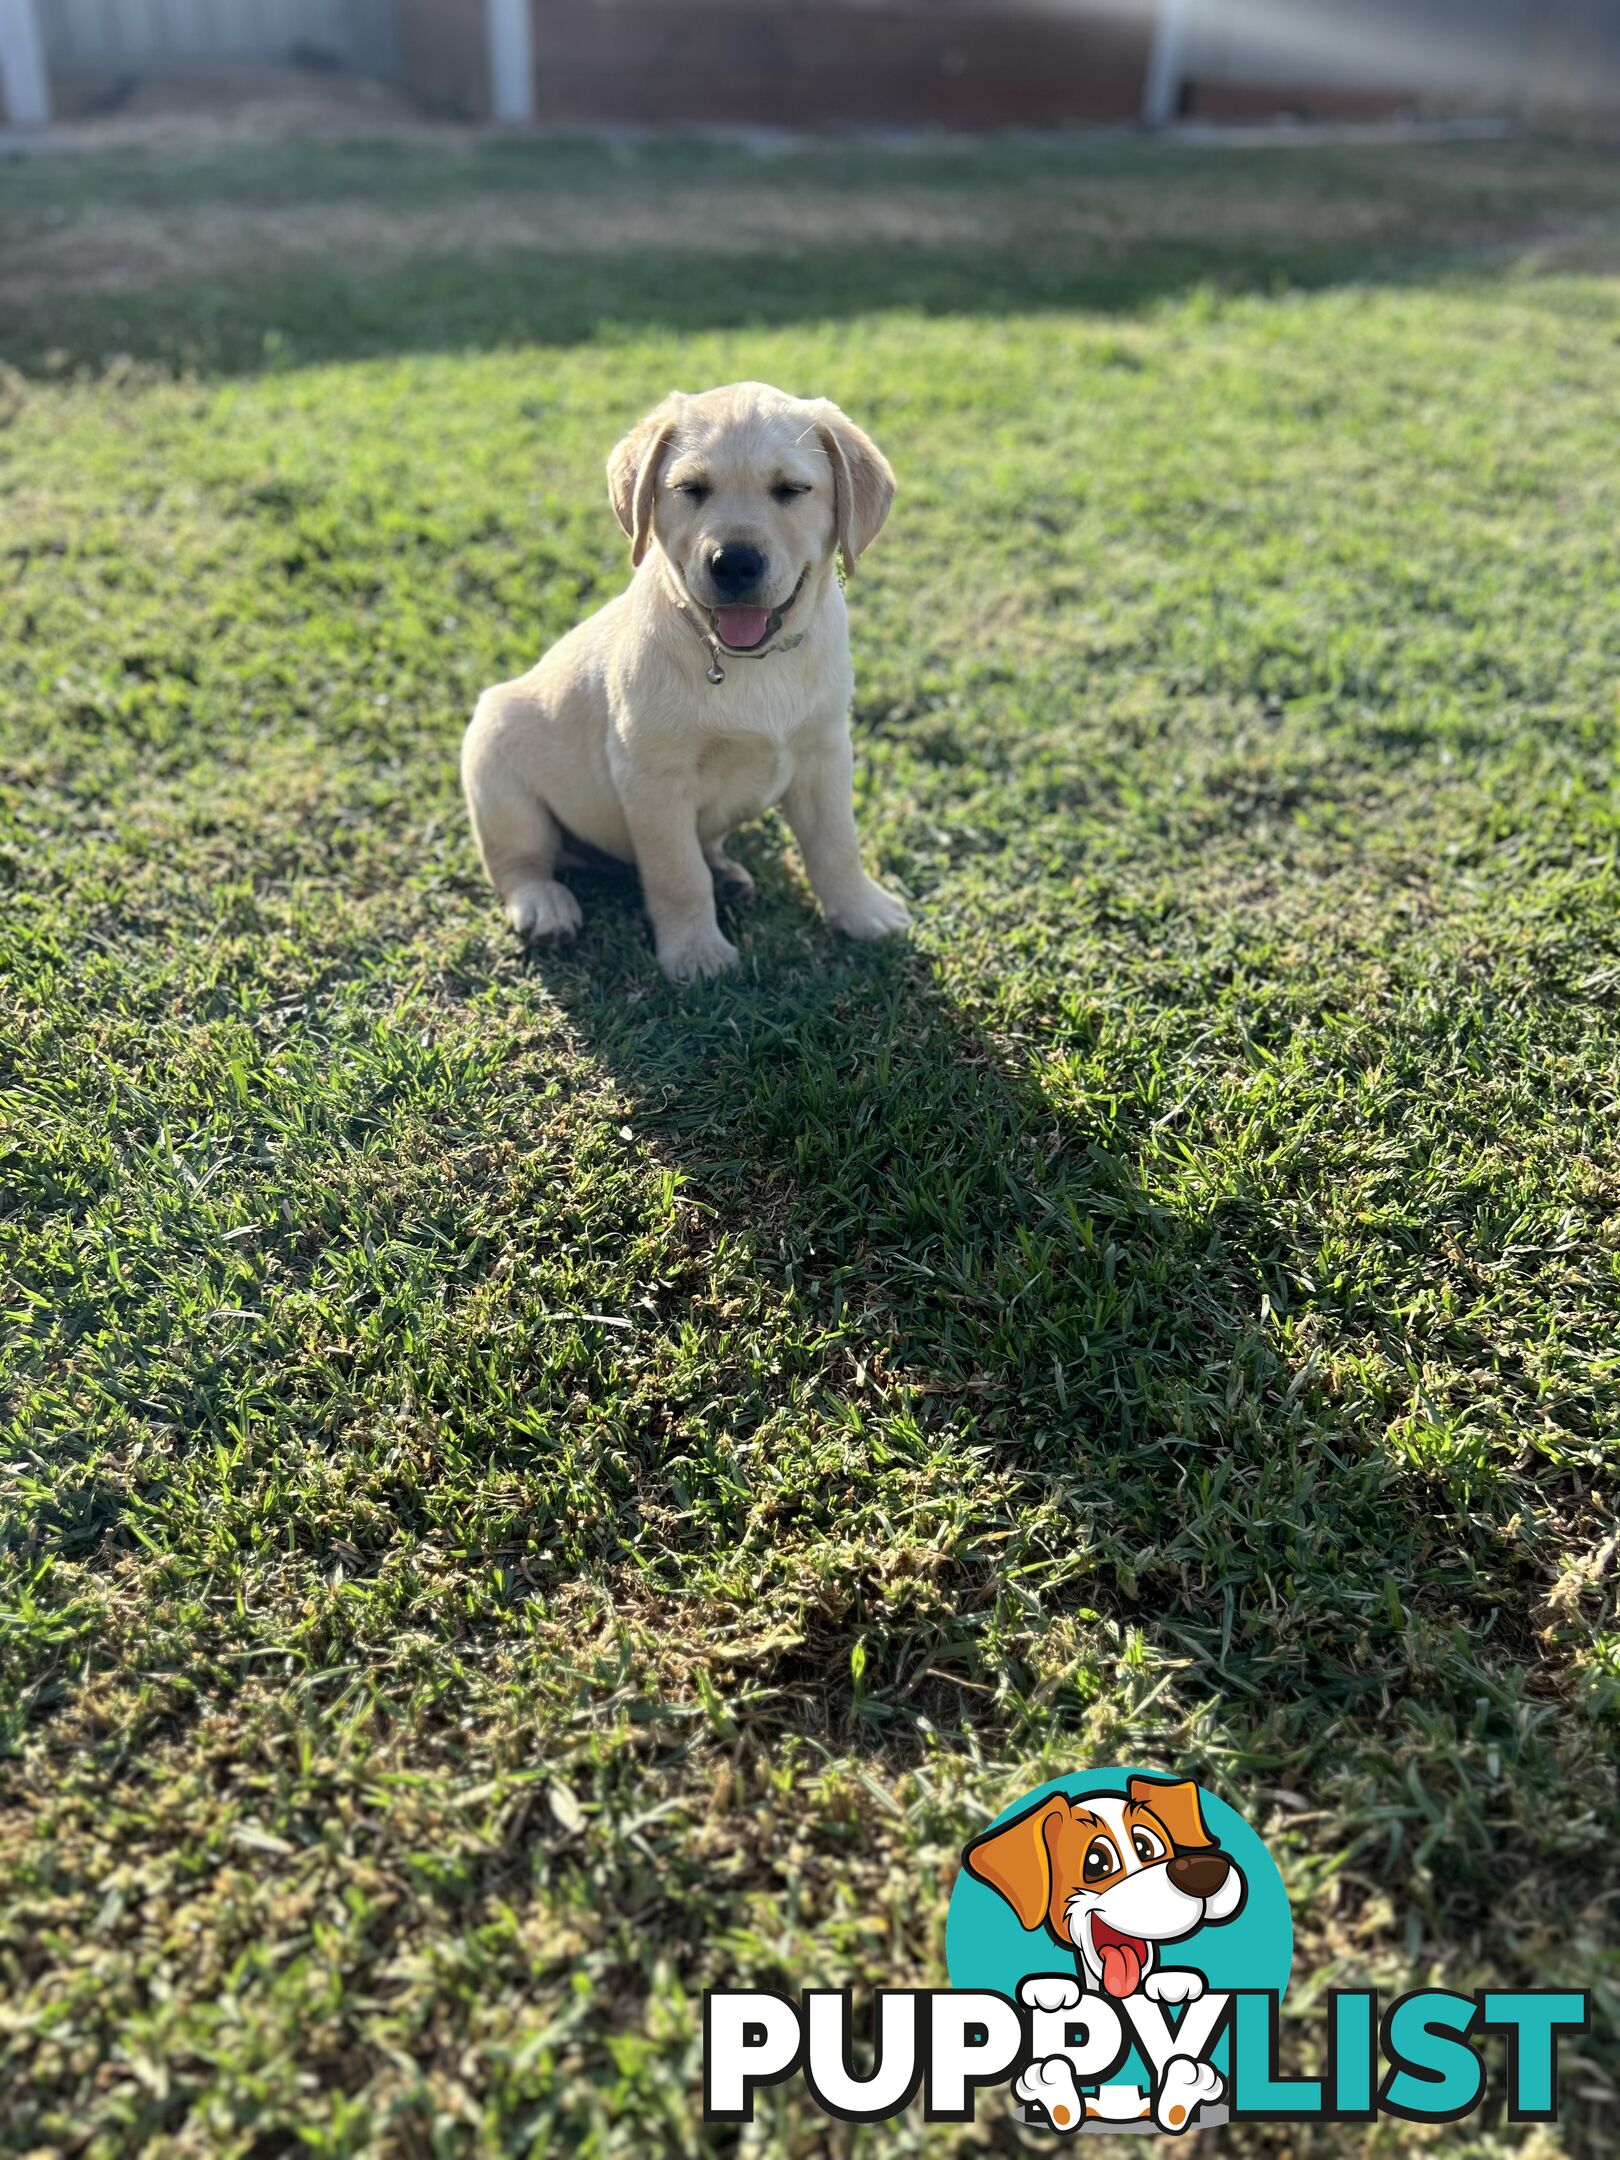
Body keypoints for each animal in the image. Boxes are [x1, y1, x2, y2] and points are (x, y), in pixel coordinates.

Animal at [460, 384, 915, 984]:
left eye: (791, 490)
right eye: (690, 489)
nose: (734, 562)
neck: (749, 663)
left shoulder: (825, 753)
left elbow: (837, 845)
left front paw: (863, 913)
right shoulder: (653, 779)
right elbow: (678, 875)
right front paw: (696, 955)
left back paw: (727, 873)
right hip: (495, 762)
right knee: (520, 861)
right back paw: (545, 904)